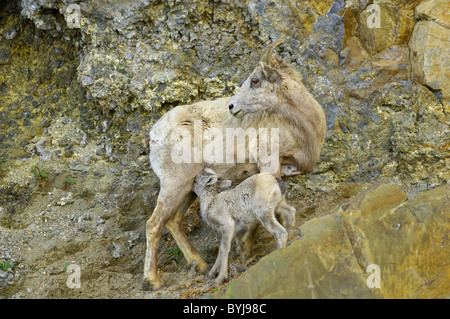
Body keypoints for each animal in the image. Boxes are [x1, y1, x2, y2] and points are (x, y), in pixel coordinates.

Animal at [145, 39, 326, 290]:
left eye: (255, 80)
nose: (232, 106)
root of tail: (154, 135)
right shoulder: (268, 165)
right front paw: (246, 250)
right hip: (174, 184)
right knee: (154, 224)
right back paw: (153, 280)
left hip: (189, 188)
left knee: (172, 221)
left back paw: (201, 265)